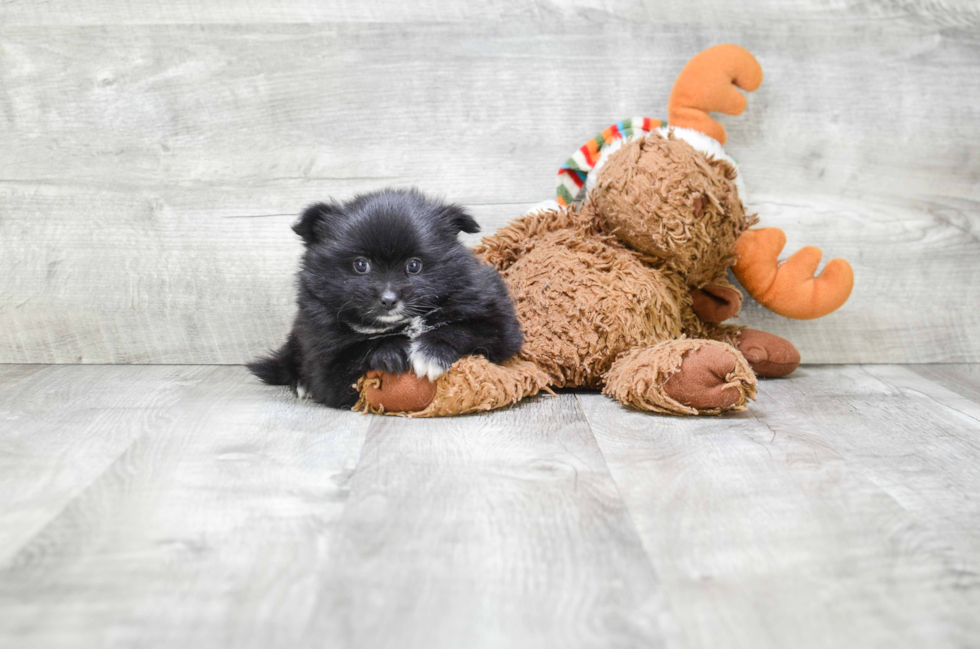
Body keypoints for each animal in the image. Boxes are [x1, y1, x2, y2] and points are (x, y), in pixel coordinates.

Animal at [249, 187, 524, 408]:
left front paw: (430, 352)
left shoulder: (498, 319)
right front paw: (393, 349)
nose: (389, 300)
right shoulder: (324, 359)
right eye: (361, 265)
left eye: (414, 265)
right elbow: (360, 350)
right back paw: (301, 383)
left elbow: (465, 329)